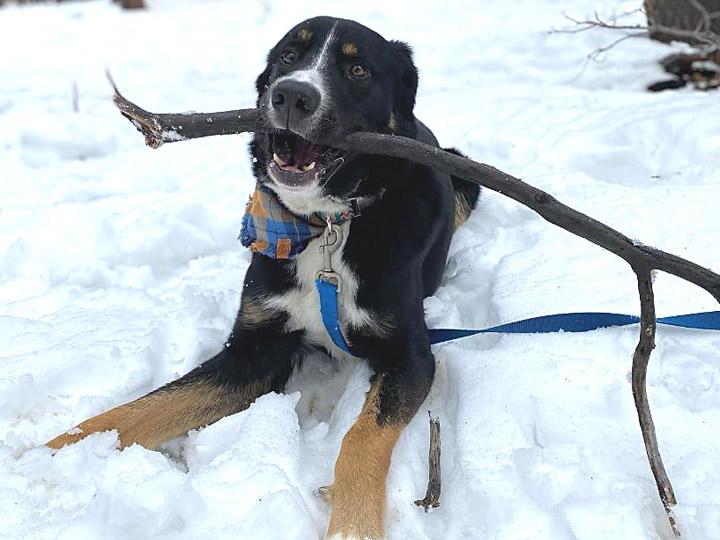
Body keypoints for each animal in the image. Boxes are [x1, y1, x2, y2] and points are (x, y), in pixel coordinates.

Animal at [47, 14, 480, 536]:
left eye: (357, 68)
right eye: (289, 56)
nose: (292, 95)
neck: (326, 226)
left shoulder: (410, 354)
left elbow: (360, 437)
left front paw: (352, 526)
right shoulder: (253, 348)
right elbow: (142, 409)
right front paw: (47, 453)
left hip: (466, 178)